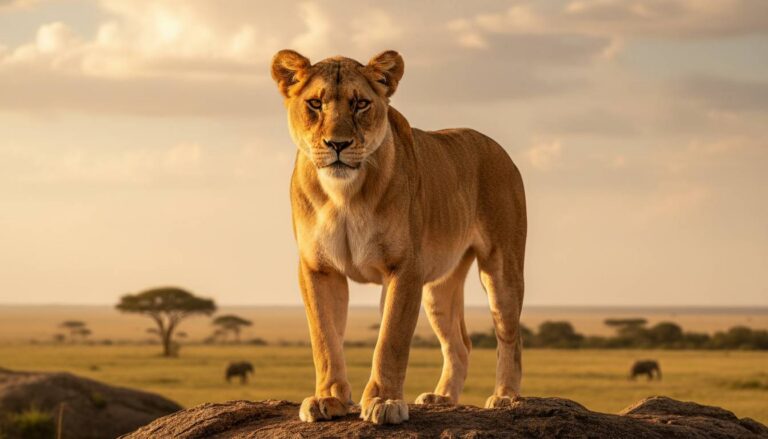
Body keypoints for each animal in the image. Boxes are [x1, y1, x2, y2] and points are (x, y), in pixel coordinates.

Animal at [271, 49, 527, 425]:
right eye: (315, 103)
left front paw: (385, 401)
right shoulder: (318, 268)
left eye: (361, 103)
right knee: (459, 344)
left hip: (501, 269)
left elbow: (390, 340)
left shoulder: (404, 268)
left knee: (510, 335)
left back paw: (505, 397)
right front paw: (328, 398)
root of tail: (496, 146)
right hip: (439, 287)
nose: (337, 144)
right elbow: (325, 339)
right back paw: (441, 398)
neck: (344, 194)